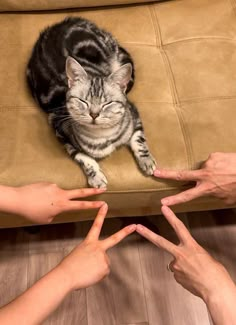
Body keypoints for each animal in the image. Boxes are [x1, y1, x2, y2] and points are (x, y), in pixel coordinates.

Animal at [26, 16, 157, 187]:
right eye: (83, 101)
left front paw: (146, 160)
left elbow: (138, 139)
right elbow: (83, 157)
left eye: (107, 103)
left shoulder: (134, 114)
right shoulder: (60, 131)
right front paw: (96, 177)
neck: (102, 136)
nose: (94, 114)